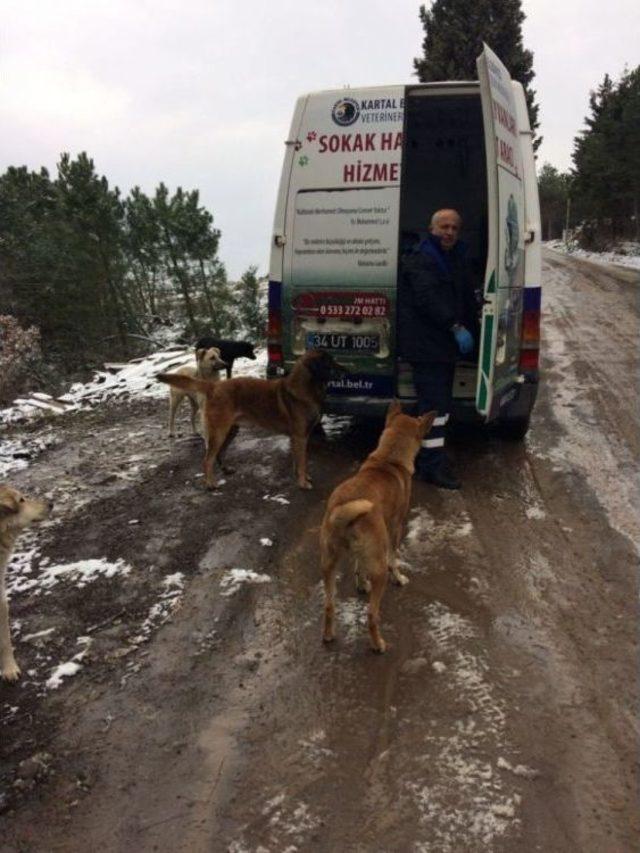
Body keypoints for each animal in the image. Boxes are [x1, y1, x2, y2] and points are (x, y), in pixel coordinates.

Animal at [156, 350, 344, 490]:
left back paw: (225, 469)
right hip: (219, 432)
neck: (304, 387)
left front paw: (302, 478)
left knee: (219, 454)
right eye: (329, 363)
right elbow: (303, 462)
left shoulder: (296, 438)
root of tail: (214, 386)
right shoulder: (300, 438)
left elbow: (298, 462)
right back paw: (210, 484)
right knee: (207, 459)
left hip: (230, 431)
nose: (347, 371)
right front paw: (303, 483)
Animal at [318, 402, 436, 652]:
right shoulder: (396, 528)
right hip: (379, 570)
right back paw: (378, 644)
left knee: (329, 605)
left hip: (328, 565)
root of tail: (343, 513)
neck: (388, 460)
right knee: (371, 614)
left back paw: (329, 635)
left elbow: (358, 566)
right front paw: (399, 578)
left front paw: (361, 583)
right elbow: (394, 559)